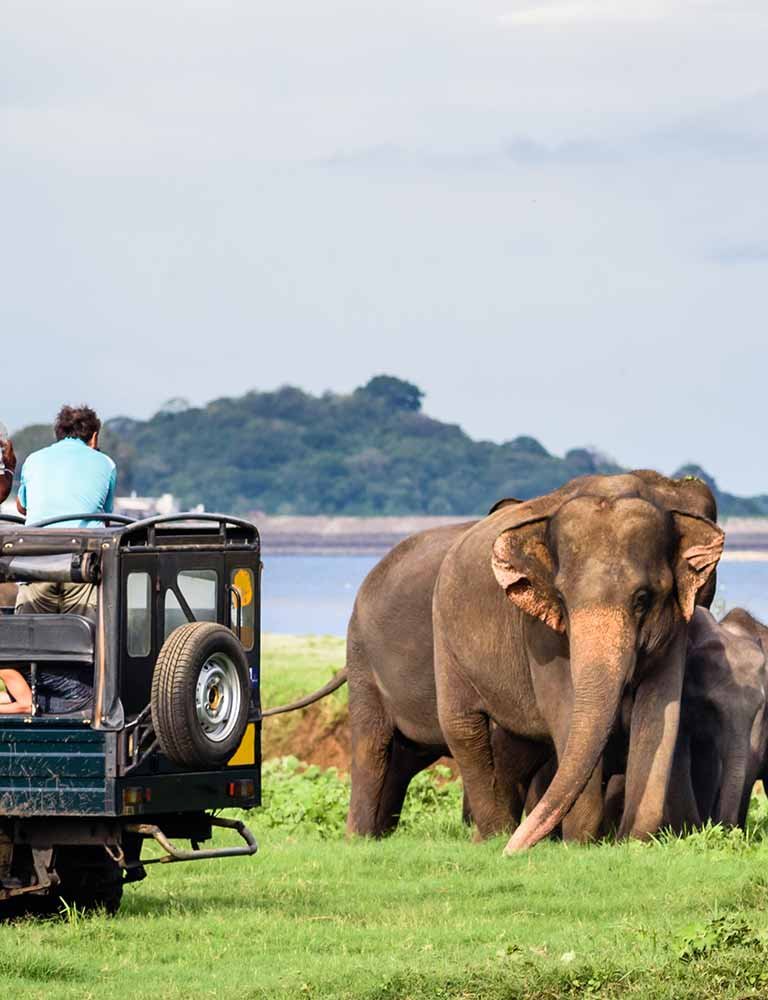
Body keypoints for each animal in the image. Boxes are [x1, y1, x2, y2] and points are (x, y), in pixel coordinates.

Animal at [346, 471, 720, 843]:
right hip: (418, 644)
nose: (516, 849)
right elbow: (565, 709)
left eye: (642, 599)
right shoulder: (539, 632)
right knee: (439, 731)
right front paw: (579, 843)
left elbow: (660, 712)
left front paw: (632, 840)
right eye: (562, 598)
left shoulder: (677, 623)